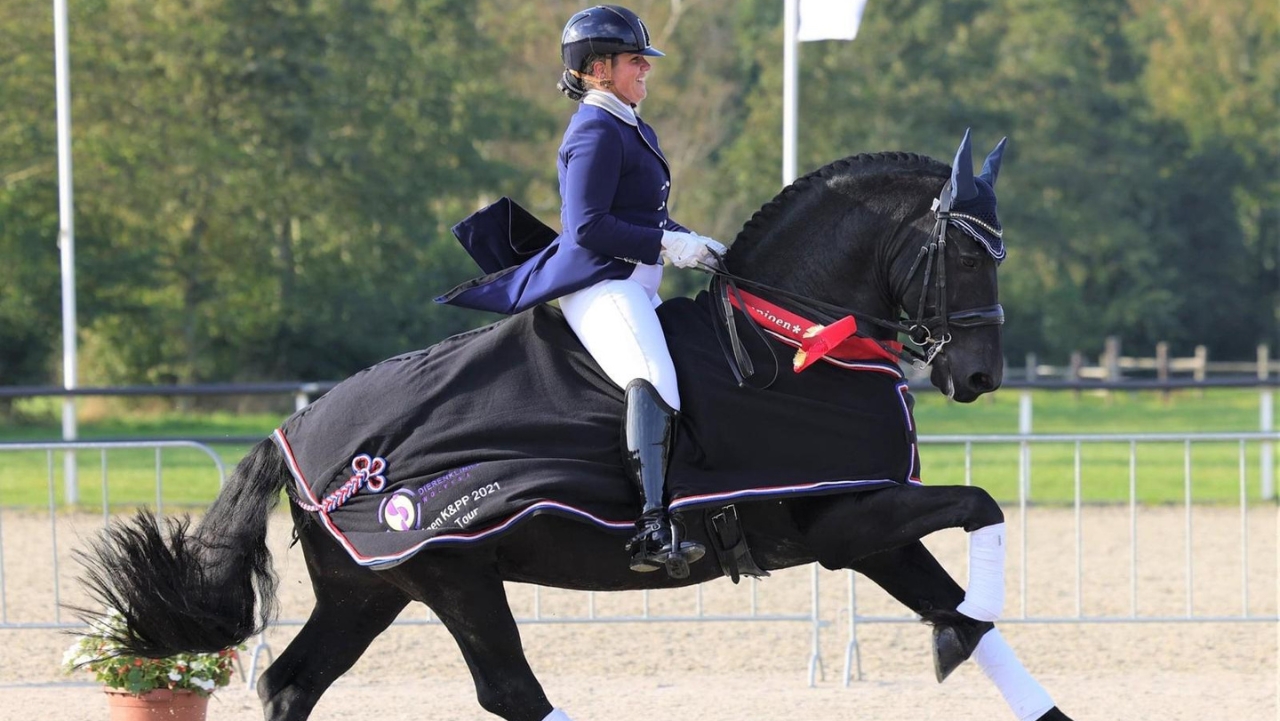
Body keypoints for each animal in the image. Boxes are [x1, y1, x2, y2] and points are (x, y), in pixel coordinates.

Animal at [76, 133, 1074, 721]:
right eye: (968, 256)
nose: (977, 377)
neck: (795, 336)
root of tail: (300, 436)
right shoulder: (841, 520)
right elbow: (983, 505)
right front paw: (955, 633)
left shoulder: (868, 526)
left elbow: (966, 604)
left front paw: (958, 635)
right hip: (451, 572)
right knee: (509, 690)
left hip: (371, 586)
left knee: (291, 683)